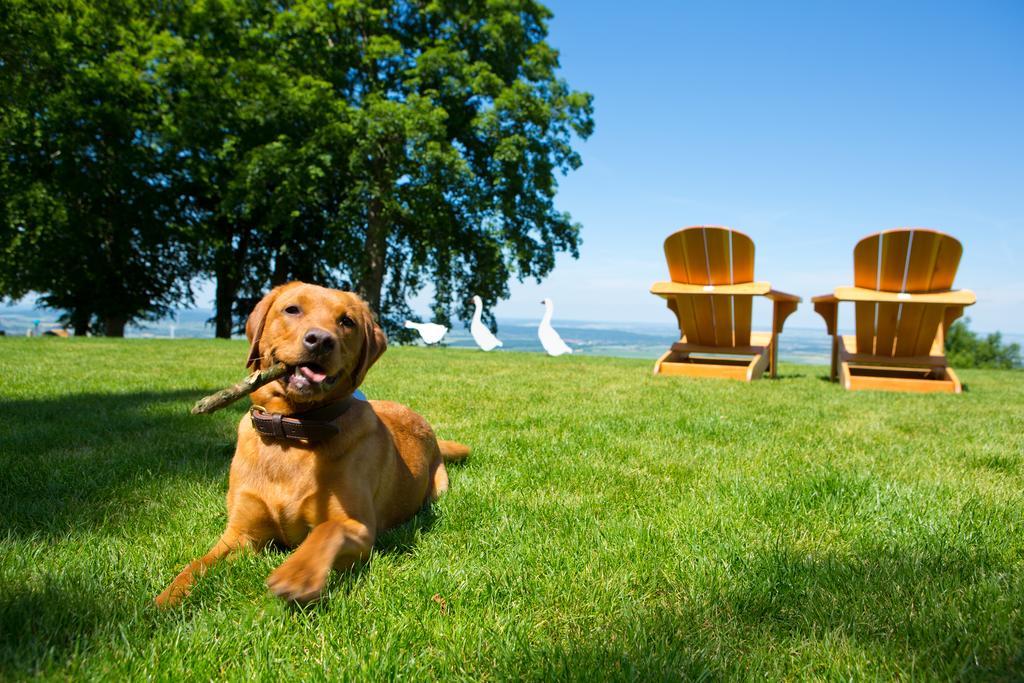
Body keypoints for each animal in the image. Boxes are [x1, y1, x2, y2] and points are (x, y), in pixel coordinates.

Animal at [154, 282, 468, 610]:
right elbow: (196, 565)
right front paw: (164, 600)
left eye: (347, 321)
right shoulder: (241, 534)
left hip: (438, 488)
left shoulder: (360, 528)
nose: (320, 340)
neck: (290, 433)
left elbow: (327, 530)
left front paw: (297, 572)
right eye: (292, 309)